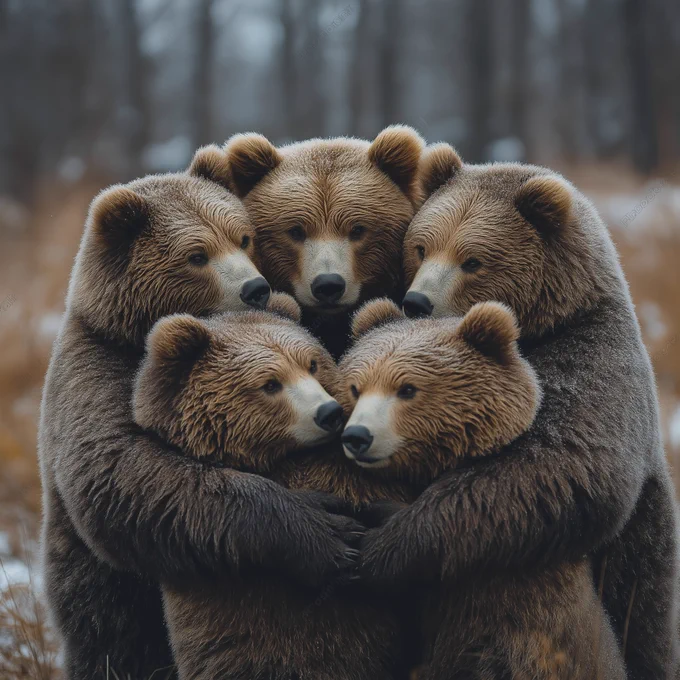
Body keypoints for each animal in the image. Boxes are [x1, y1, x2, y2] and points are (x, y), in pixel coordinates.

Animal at [37, 148, 360, 680]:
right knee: (111, 637)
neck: (140, 334)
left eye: (243, 237)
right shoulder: (98, 371)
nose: (255, 288)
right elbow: (126, 473)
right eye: (196, 254)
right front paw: (325, 530)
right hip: (101, 588)